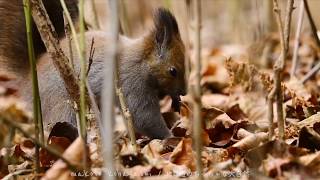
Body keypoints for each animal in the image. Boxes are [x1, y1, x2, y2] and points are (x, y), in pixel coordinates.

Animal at [1, 1, 186, 139]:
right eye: (173, 71)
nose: (184, 92)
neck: (141, 61)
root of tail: (31, 76)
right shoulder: (132, 85)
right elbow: (144, 117)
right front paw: (170, 137)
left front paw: (175, 101)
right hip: (64, 107)